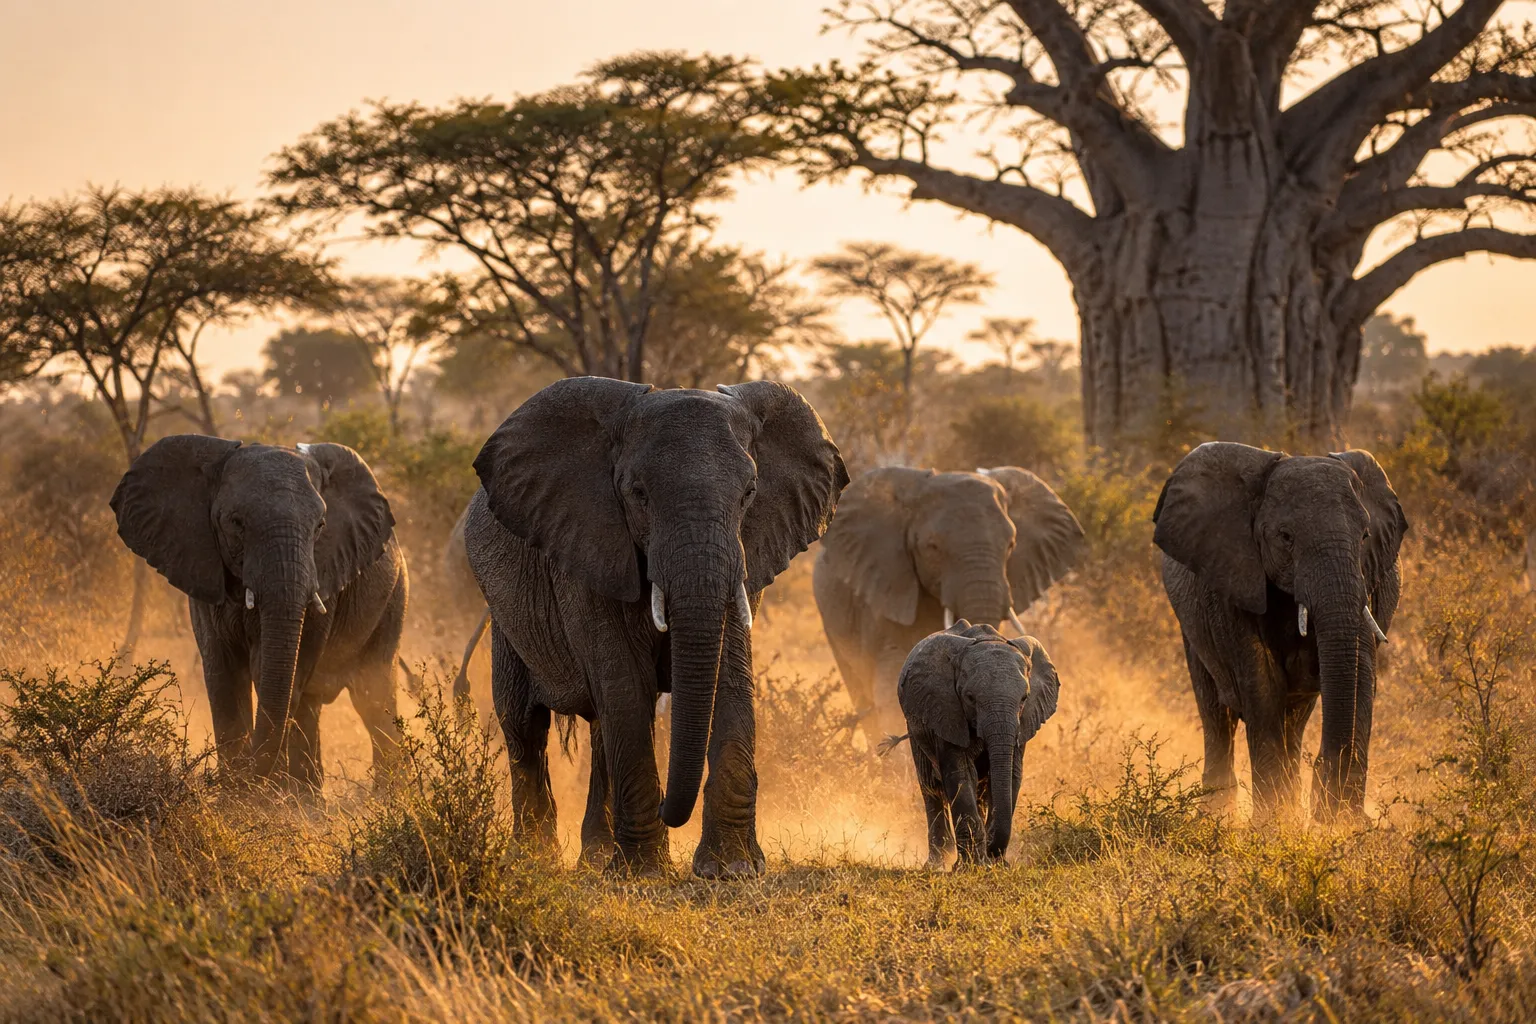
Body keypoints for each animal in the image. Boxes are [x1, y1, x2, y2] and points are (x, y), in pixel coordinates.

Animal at [110, 436, 406, 789]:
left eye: (320, 526)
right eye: (236, 523)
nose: (245, 777)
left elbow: (277, 668)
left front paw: (262, 796)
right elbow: (223, 675)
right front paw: (239, 795)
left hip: (393, 599)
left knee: (372, 697)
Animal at [463, 376, 847, 877]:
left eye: (749, 492)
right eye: (638, 493)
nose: (671, 810)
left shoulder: (746, 557)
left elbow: (729, 678)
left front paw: (731, 870)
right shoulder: (588, 543)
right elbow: (626, 685)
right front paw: (643, 872)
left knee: (599, 728)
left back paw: (596, 857)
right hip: (503, 609)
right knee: (524, 723)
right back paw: (534, 861)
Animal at [896, 620, 1060, 867]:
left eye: (1024, 698)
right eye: (970, 698)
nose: (993, 853)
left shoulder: (1022, 723)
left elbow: (1011, 775)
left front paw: (994, 865)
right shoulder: (946, 711)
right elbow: (960, 774)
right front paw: (969, 867)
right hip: (915, 724)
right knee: (931, 787)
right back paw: (938, 863)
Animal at [1153, 442, 1408, 820]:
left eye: (1365, 536)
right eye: (1286, 537)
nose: (1322, 780)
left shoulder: (1370, 583)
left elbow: (1361, 671)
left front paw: (1344, 821)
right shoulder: (1234, 579)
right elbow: (1262, 682)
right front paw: (1273, 825)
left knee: (1293, 720)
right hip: (1189, 623)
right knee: (1216, 712)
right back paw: (1218, 815)